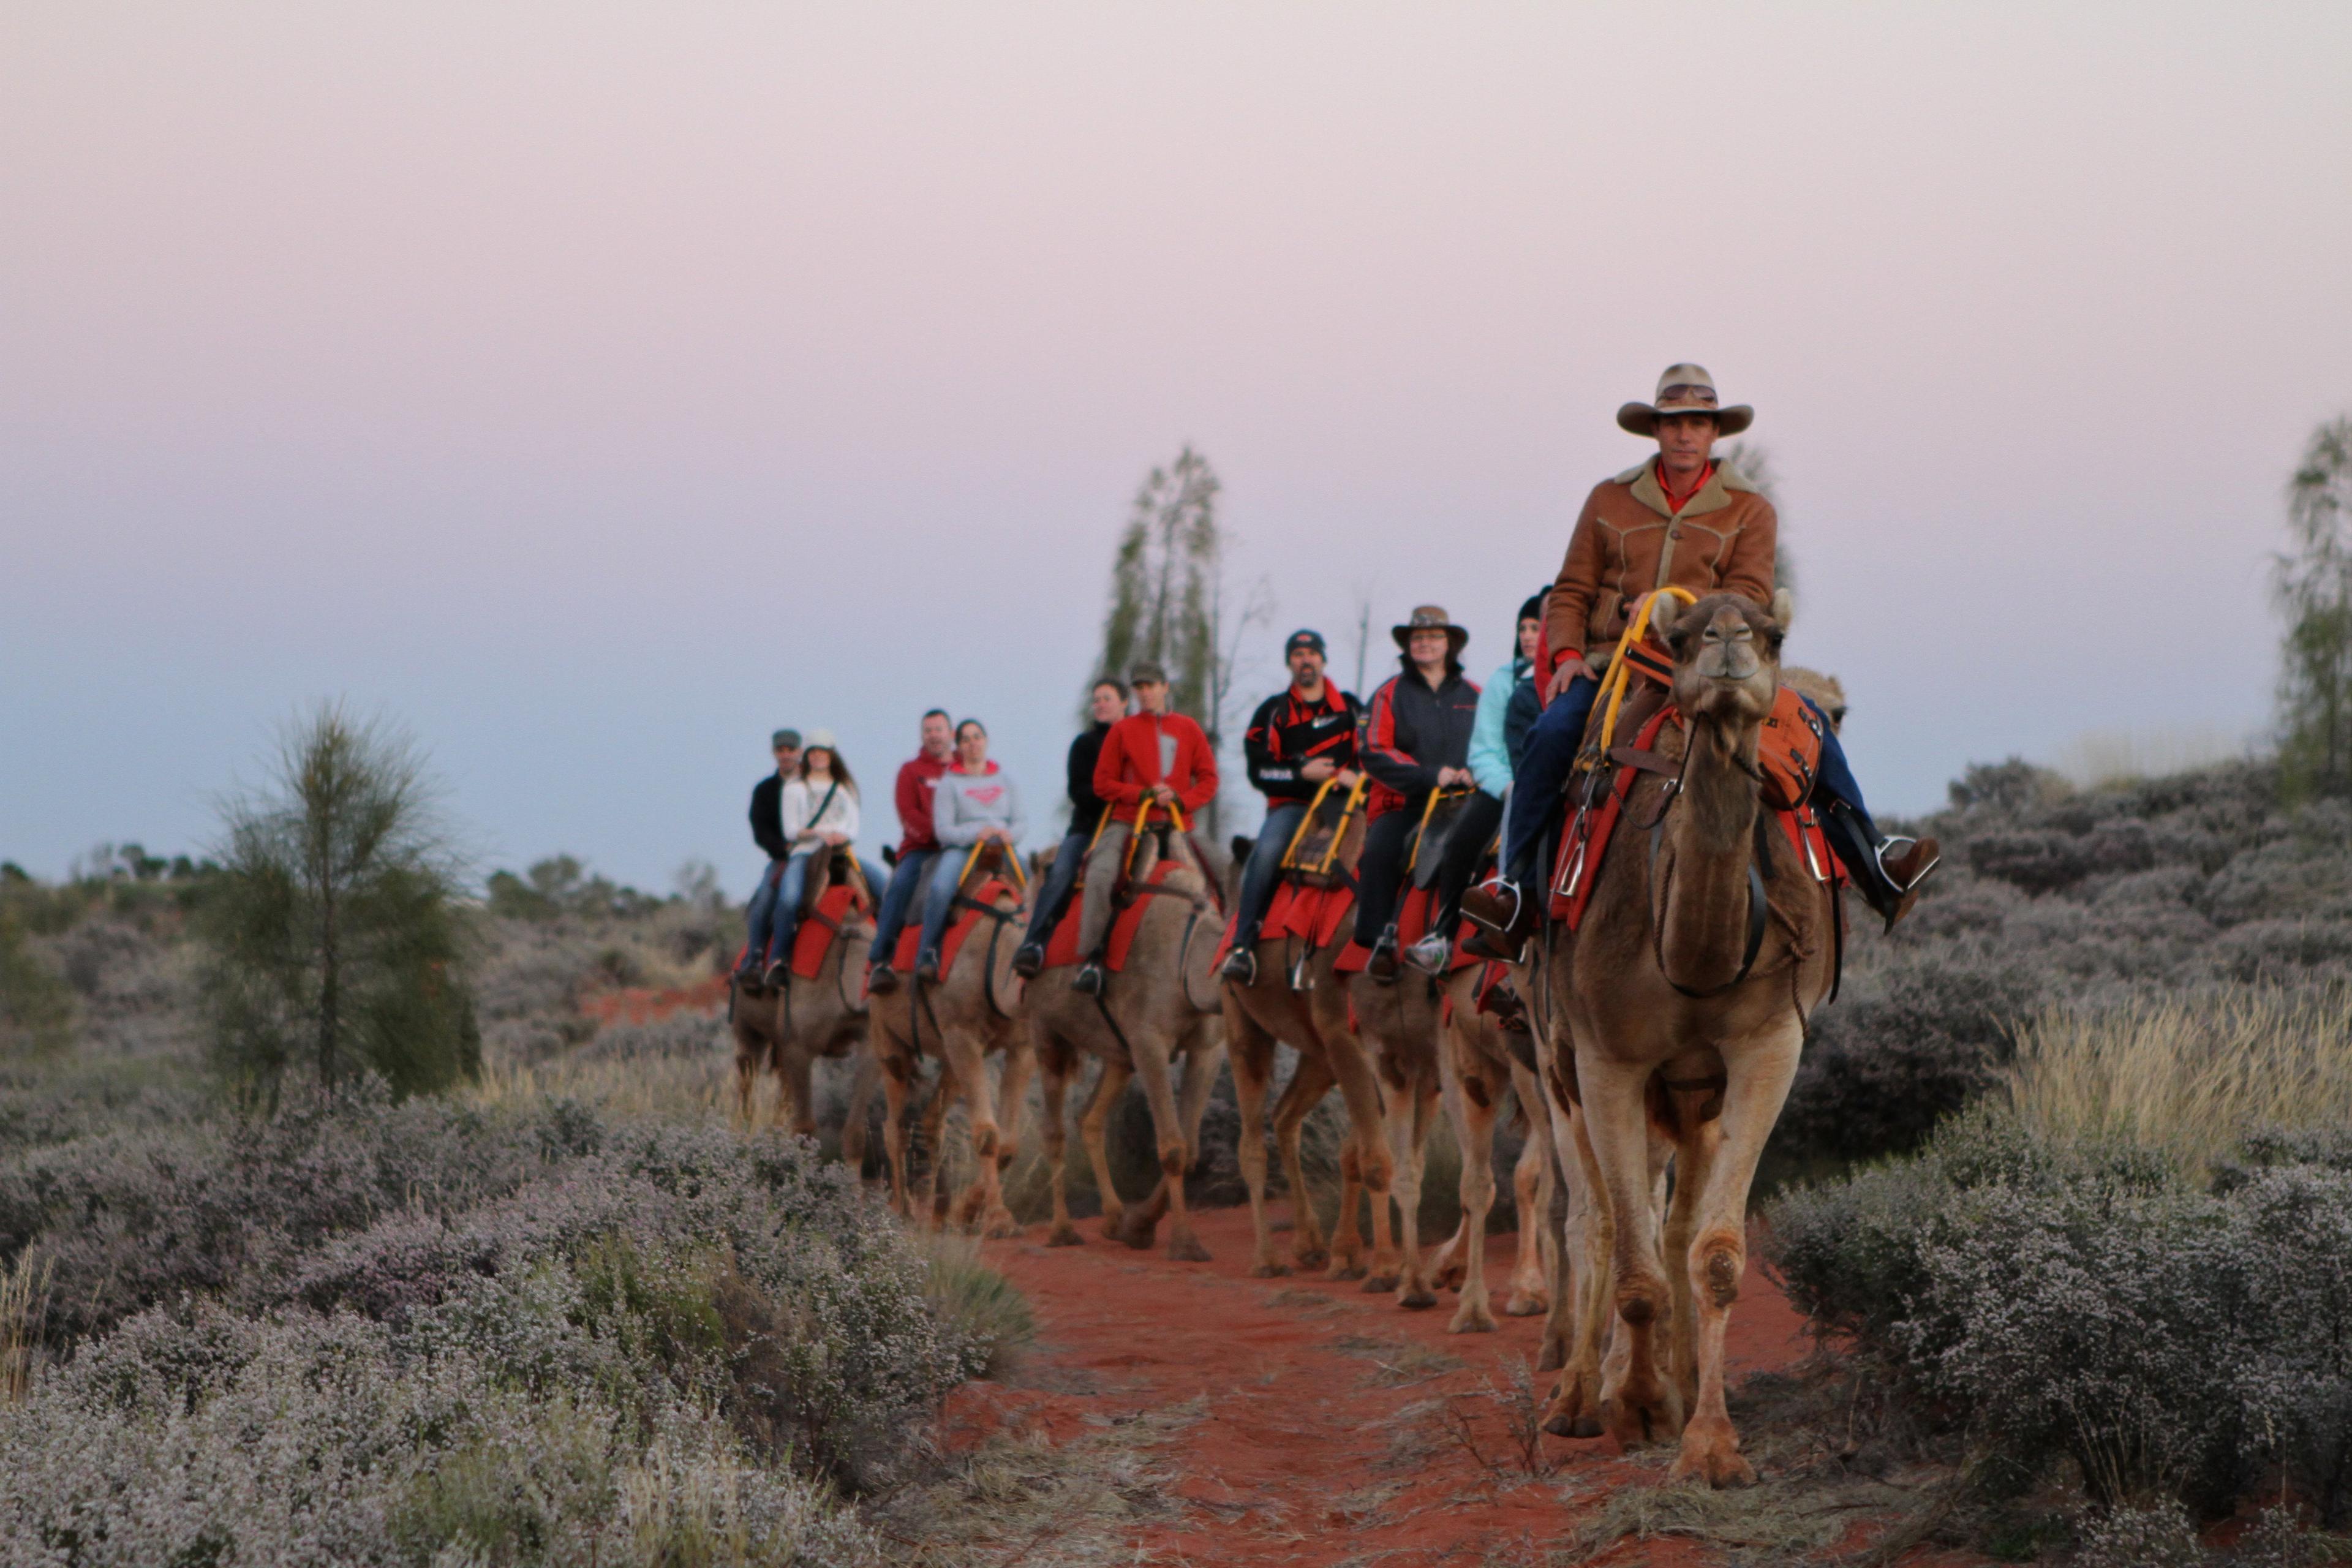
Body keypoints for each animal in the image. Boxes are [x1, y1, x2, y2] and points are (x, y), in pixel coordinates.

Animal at [865, 851, 1030, 1241]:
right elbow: (987, 1135)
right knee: (895, 1125)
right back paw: (903, 1211)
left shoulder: (1020, 1046)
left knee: (930, 1121)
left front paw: (966, 1212)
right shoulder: (962, 1035)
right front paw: (998, 1219)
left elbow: (1009, 1143)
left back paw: (939, 1214)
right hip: (887, 1035)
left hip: (949, 1055)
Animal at [1039, 832, 1242, 1260]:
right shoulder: (1150, 1043)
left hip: (1118, 1054)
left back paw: (1113, 1220)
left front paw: (1137, 1225)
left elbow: (1191, 1147)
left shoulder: (1207, 1048)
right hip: (1045, 1031)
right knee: (1053, 1130)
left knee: (1089, 1118)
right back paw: (1062, 1231)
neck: (1187, 958)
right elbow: (1172, 1148)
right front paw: (1183, 1242)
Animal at [1223, 790, 1401, 1278]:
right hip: (1244, 1026)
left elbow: (1356, 1151)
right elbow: (1372, 1156)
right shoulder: (1346, 1035)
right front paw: (1384, 1267)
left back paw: (1309, 1244)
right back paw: (1267, 1259)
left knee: (1285, 1117)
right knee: (1251, 1145)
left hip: (1317, 1052)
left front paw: (1348, 1253)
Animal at [1533, 595, 1863, 1495]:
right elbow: (1632, 1260)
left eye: (1773, 634)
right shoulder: (1607, 1061)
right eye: (1681, 638)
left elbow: (1713, 1255)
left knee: (1672, 1225)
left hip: (1692, 1097)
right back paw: (1578, 1398)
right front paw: (1640, 1407)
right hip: (1555, 1063)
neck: (1693, 956)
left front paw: (1710, 1441)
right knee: (1598, 1219)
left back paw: (1675, 1382)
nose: (1728, 646)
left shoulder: (1767, 1049)